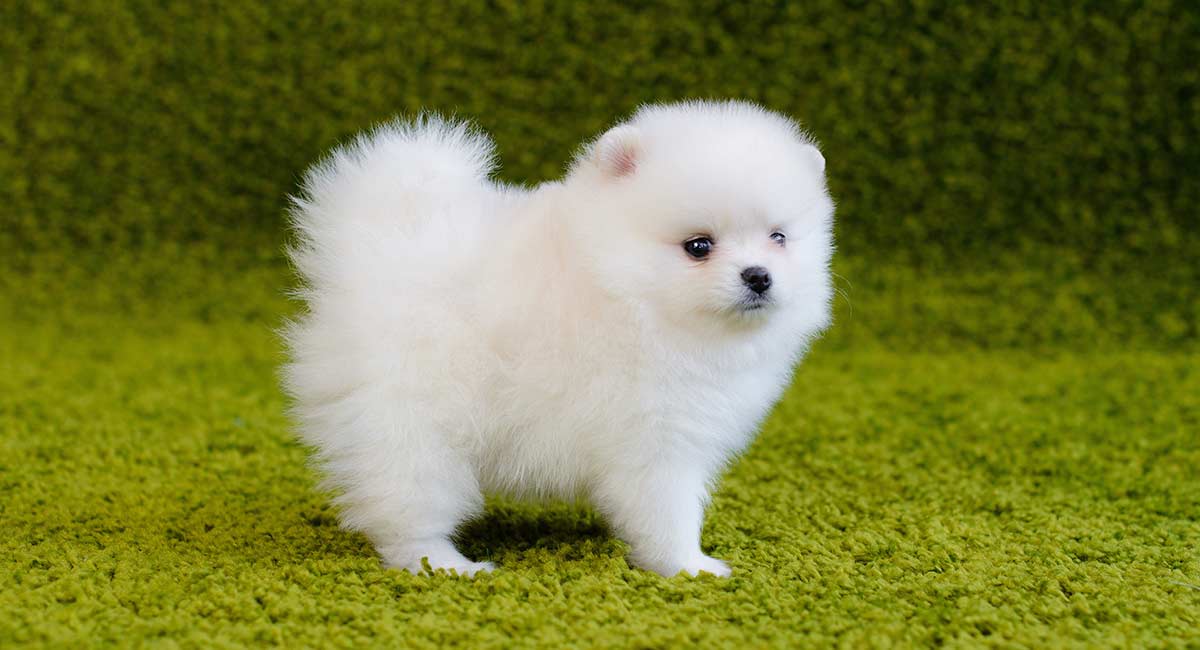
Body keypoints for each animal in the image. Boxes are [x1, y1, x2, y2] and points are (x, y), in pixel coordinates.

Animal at [285, 99, 840, 578]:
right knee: (406, 510)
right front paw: (690, 567)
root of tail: (373, 244)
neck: (626, 292)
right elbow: (668, 512)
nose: (758, 276)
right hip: (414, 423)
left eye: (779, 237)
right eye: (698, 246)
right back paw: (447, 564)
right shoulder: (656, 435)